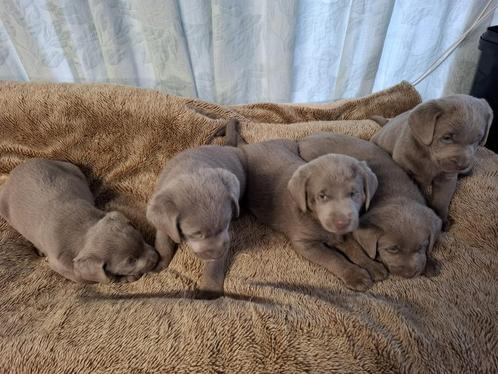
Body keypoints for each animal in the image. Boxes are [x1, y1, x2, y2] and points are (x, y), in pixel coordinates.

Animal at [298, 133, 442, 280]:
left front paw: (430, 263)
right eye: (393, 249)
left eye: (421, 247)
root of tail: (306, 138)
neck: (398, 196)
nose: (409, 274)